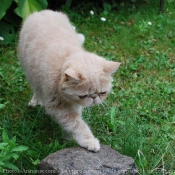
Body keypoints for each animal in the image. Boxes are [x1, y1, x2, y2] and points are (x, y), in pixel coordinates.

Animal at [18, 9, 120, 152]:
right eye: (83, 95)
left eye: (102, 93)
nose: (94, 98)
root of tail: (42, 11)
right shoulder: (58, 107)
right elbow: (76, 124)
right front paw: (88, 141)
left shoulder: (74, 105)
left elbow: (72, 123)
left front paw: (68, 138)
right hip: (30, 73)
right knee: (36, 89)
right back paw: (35, 101)